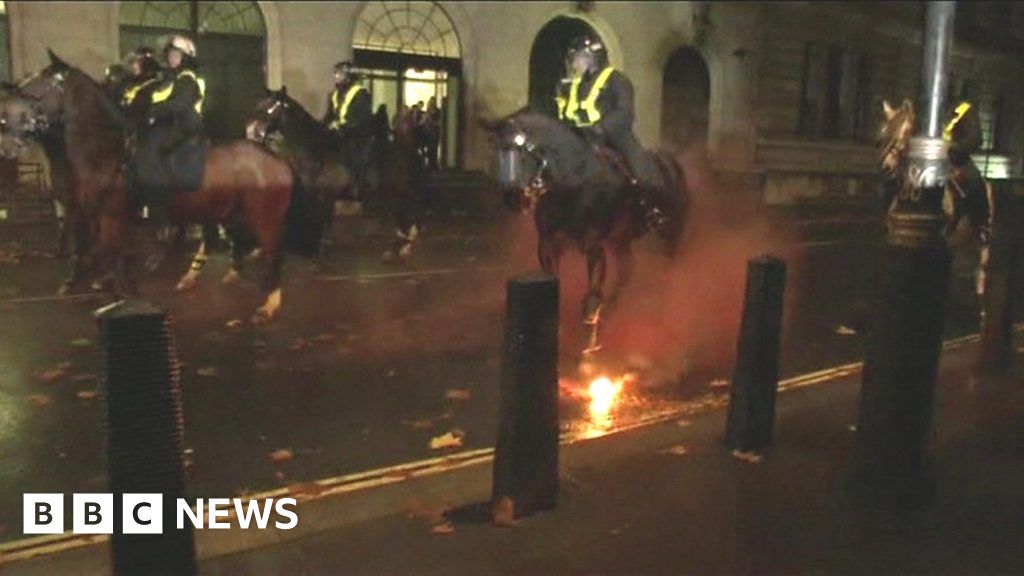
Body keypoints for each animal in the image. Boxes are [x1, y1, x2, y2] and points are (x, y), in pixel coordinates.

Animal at [0, 51, 317, 319]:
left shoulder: (109, 217)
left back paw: (270, 302)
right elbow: (106, 254)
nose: (6, 128)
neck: (106, 152)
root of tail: (276, 158)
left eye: (36, 84)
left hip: (264, 218)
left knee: (273, 251)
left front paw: (118, 294)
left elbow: (111, 255)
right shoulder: (93, 214)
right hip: (232, 213)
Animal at [245, 85, 425, 262]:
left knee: (409, 217)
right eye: (260, 104)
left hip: (399, 193)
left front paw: (318, 254)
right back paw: (397, 248)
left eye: (272, 106)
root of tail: (411, 151)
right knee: (404, 219)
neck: (316, 151)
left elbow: (322, 220)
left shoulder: (325, 195)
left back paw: (403, 247)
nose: (250, 131)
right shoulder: (315, 195)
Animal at [483, 108, 692, 354]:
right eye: (496, 151)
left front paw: (589, 344)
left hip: (669, 237)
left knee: (663, 274)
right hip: (620, 243)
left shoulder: (594, 247)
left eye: (522, 149)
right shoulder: (548, 245)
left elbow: (592, 296)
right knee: (624, 277)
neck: (572, 185)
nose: (513, 199)